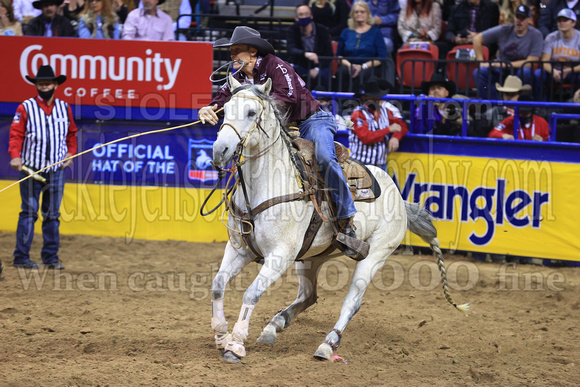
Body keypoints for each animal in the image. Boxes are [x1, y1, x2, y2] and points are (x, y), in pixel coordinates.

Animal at [211, 75, 468, 364]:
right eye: (225, 109)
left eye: (252, 113)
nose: (220, 150)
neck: (268, 185)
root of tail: (399, 198)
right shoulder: (240, 249)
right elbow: (217, 286)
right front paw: (221, 335)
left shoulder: (280, 256)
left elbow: (251, 293)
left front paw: (235, 345)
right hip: (311, 257)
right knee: (309, 295)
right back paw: (273, 327)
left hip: (374, 255)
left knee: (351, 302)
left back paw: (327, 344)